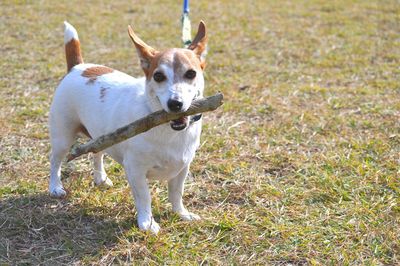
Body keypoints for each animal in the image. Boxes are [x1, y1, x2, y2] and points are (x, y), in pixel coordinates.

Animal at [48, 21, 208, 234]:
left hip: (103, 136)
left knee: (96, 153)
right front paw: (148, 223)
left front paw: (181, 214)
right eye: (158, 76)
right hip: (63, 139)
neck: (167, 130)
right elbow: (145, 197)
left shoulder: (182, 168)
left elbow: (176, 193)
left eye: (191, 74)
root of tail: (77, 67)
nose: (175, 103)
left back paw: (101, 179)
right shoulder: (135, 170)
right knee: (55, 161)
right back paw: (55, 187)